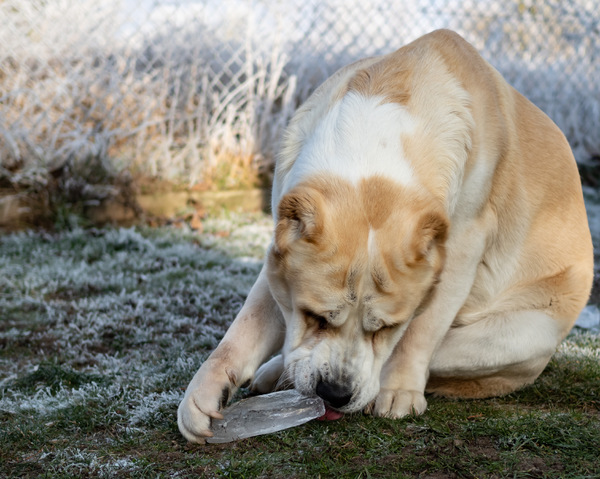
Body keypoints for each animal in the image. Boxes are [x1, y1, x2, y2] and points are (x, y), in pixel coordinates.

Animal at [176, 29, 592, 442]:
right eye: (315, 317)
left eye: (386, 328)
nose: (335, 393)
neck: (370, 157)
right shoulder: (280, 253)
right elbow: (247, 324)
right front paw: (204, 394)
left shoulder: (460, 254)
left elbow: (419, 331)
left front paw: (398, 390)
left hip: (521, 336)